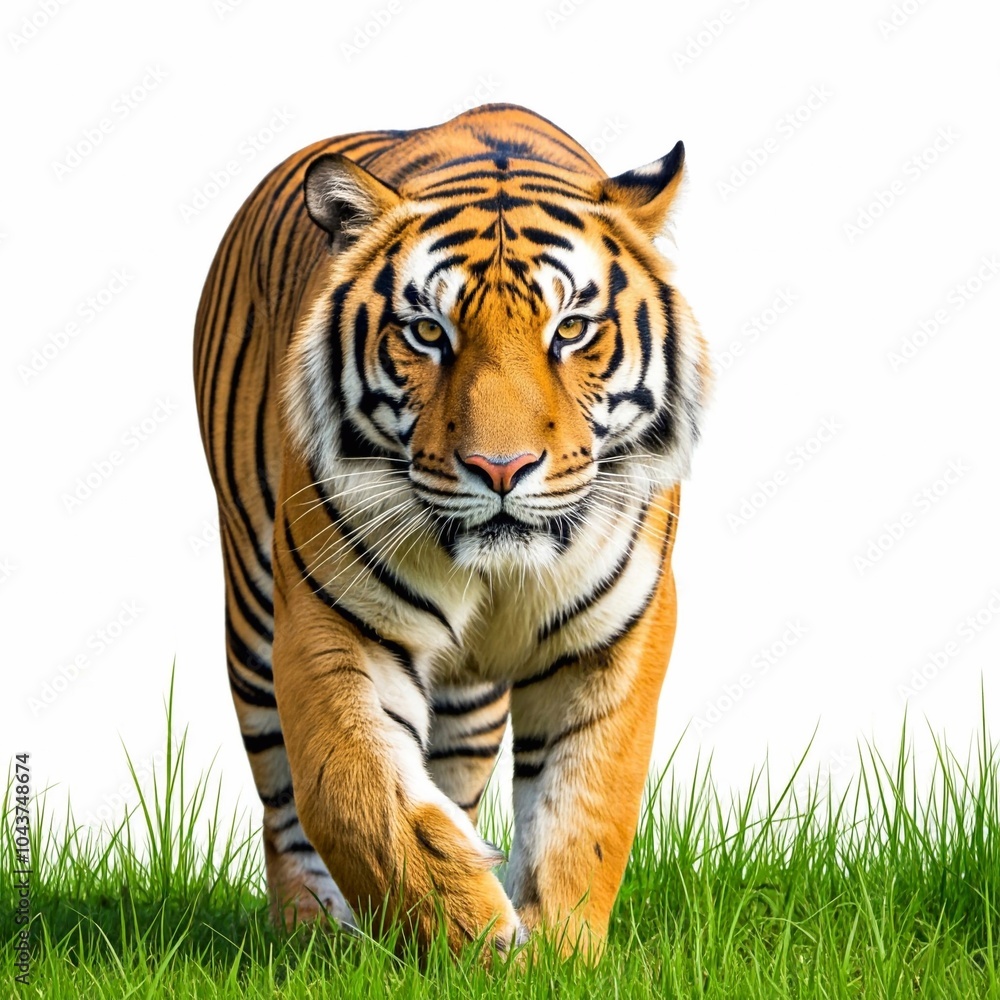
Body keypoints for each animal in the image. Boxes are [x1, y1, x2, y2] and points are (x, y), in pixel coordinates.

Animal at [193, 102, 710, 960]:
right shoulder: (334, 627)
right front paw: (477, 945)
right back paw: (313, 930)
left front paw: (557, 952)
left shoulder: (615, 632)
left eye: (572, 329)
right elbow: (359, 799)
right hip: (253, 614)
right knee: (283, 801)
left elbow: (583, 809)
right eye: (428, 333)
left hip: (469, 704)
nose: (502, 468)